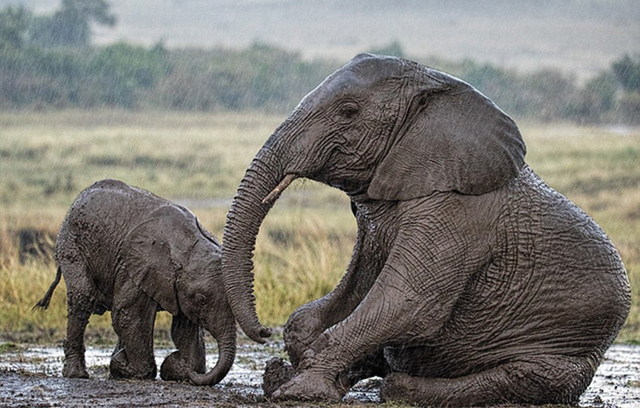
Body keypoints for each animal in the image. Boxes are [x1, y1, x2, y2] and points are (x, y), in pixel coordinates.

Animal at [35, 179, 235, 386]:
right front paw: (131, 366)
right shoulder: (138, 267)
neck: (189, 245)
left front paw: (180, 368)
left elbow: (184, 329)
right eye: (201, 299)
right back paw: (79, 374)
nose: (178, 360)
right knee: (83, 297)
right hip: (72, 244)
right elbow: (129, 316)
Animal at [221, 53, 632, 404]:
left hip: (562, 356)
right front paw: (290, 372)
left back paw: (399, 388)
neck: (438, 91)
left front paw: (300, 391)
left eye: (349, 112)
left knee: (516, 377)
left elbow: (406, 302)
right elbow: (336, 303)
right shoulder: (377, 219)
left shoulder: (458, 213)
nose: (263, 332)